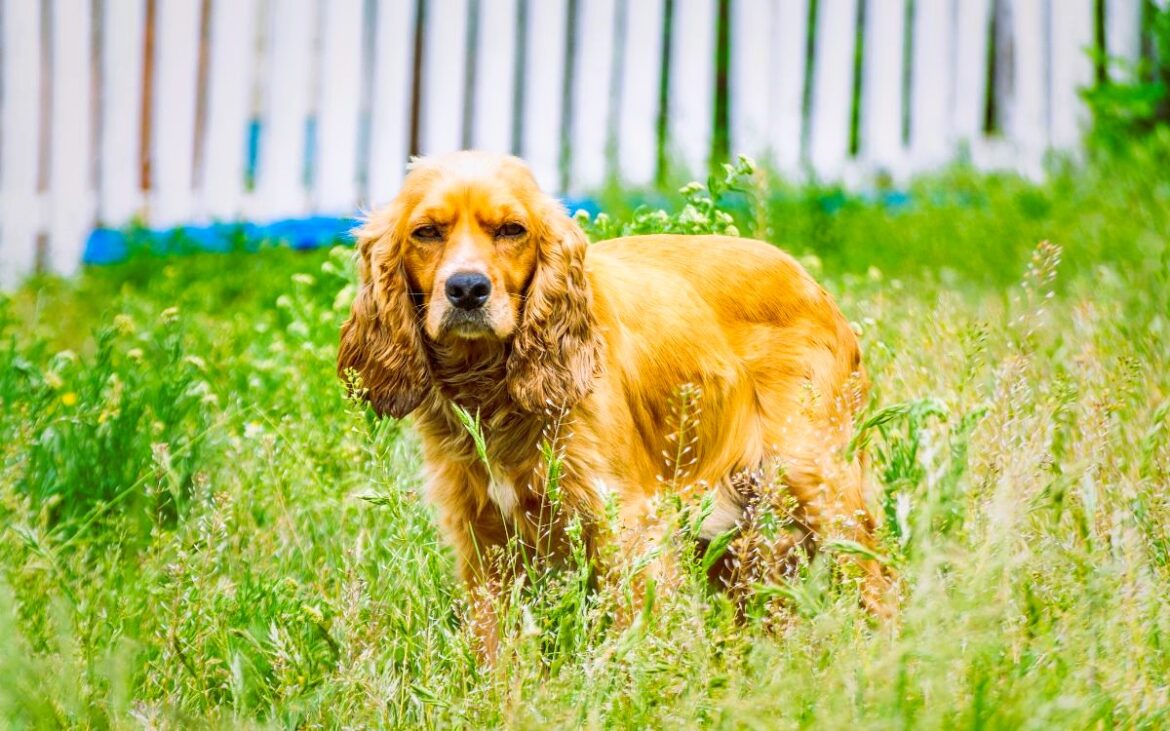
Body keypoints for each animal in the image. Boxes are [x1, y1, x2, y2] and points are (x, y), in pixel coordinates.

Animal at [339, 149, 884, 650]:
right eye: (426, 232)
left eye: (512, 230)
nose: (467, 288)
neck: (492, 390)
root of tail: (810, 282)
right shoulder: (483, 539)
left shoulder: (623, 524)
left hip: (819, 485)